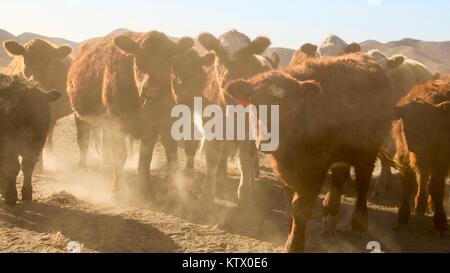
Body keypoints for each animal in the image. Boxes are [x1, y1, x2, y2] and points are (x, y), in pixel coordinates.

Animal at [0, 73, 60, 203]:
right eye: (16, 105)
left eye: (40, 107)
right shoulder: (9, 146)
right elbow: (13, 167)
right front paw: (11, 194)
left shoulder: (35, 146)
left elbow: (27, 167)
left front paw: (26, 193)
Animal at [67, 30, 194, 197]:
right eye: (138, 59)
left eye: (169, 61)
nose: (151, 89)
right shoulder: (118, 124)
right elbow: (120, 156)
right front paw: (117, 192)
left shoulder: (153, 126)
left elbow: (144, 159)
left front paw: (147, 191)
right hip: (80, 117)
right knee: (83, 143)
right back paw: (82, 171)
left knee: (105, 147)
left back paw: (105, 169)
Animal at [196, 30, 272, 204]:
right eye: (218, 52)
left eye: (246, 54)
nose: (230, 79)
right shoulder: (213, 129)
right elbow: (213, 160)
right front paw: (207, 194)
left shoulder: (250, 135)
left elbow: (245, 162)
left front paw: (244, 193)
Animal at [227, 52, 392, 251]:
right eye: (255, 104)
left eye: (290, 107)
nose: (267, 140)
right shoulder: (285, 172)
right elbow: (291, 204)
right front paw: (290, 235)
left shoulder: (315, 171)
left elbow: (300, 208)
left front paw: (295, 244)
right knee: (339, 176)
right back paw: (330, 213)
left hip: (368, 149)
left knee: (363, 182)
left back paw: (359, 223)